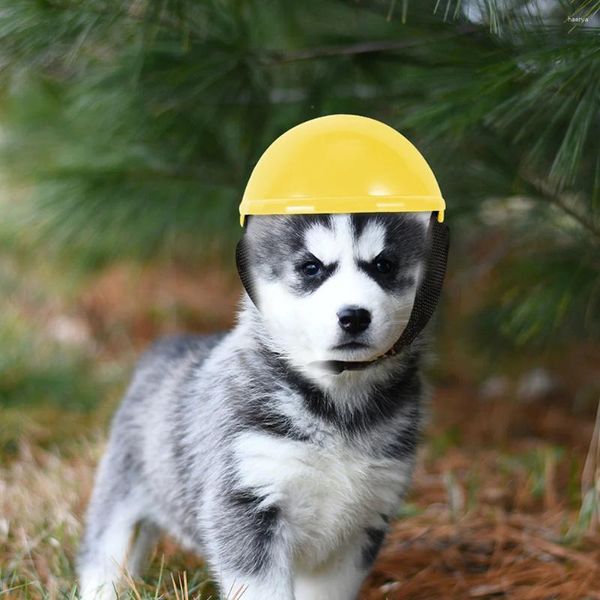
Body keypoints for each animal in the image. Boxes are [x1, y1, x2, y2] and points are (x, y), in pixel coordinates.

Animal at [78, 211, 436, 600]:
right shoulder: (245, 504)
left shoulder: (363, 523)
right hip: (121, 494)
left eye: (384, 265)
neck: (338, 407)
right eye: (311, 267)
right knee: (102, 553)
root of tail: (170, 344)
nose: (354, 316)